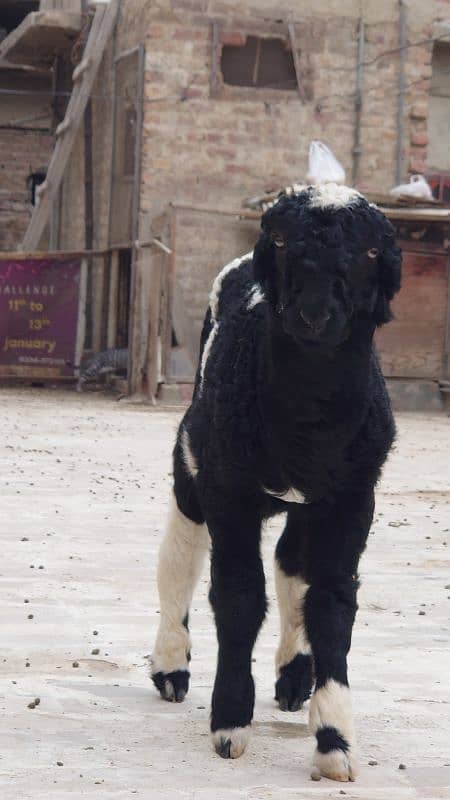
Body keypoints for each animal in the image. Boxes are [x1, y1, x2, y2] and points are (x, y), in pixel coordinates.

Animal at [151, 183, 400, 780]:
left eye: (373, 251)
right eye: (283, 241)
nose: (315, 312)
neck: (307, 426)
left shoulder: (352, 497)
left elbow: (331, 602)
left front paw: (334, 741)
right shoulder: (229, 489)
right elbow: (238, 595)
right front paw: (229, 724)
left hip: (306, 503)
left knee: (292, 567)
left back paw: (293, 676)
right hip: (194, 454)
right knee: (178, 555)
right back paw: (171, 664)